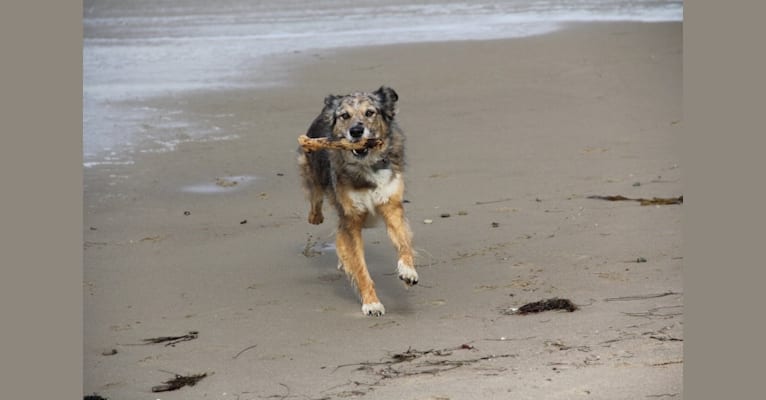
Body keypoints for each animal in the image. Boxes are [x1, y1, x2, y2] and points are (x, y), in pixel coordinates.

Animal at [298, 85, 420, 316]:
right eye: (344, 116)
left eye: (370, 112)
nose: (356, 131)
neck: (367, 165)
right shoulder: (351, 218)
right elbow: (360, 266)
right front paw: (371, 303)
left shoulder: (391, 204)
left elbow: (403, 242)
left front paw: (408, 271)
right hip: (314, 174)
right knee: (315, 201)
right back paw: (316, 217)